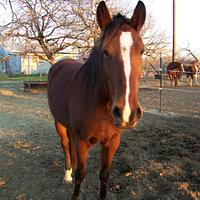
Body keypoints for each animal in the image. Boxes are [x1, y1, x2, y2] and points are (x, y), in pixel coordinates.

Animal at [47, 0, 146, 199]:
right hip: (58, 122)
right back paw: (67, 174)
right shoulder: (82, 142)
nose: (127, 113)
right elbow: (81, 174)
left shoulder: (112, 142)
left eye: (142, 50)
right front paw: (74, 186)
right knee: (65, 145)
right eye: (105, 52)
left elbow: (104, 175)